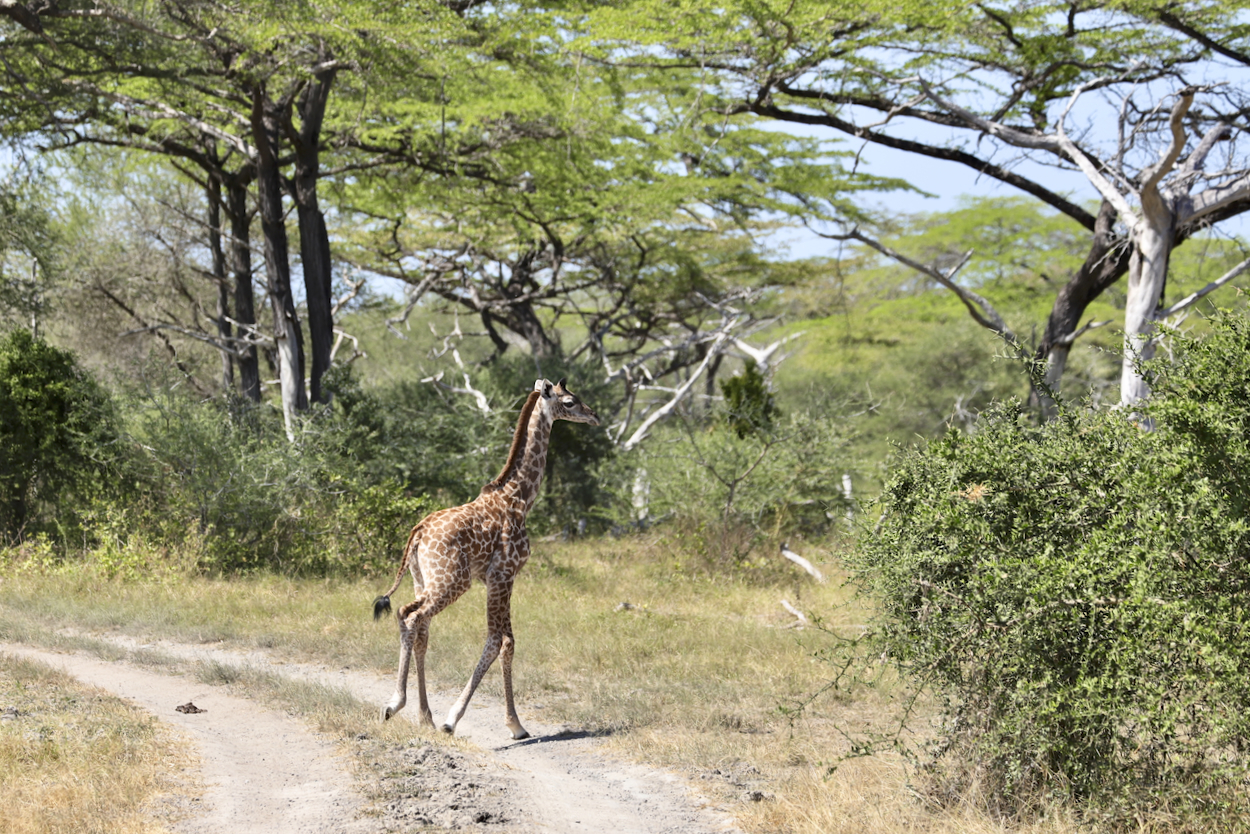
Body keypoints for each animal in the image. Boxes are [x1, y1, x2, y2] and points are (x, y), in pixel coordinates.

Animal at [370, 377, 600, 735]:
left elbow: (506, 640)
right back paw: (396, 704)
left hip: (424, 580)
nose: (594, 416)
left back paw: (424, 715)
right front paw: (484, 722)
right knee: (412, 616)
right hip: (452, 582)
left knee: (416, 624)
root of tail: (418, 532)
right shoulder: (503, 574)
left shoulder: (497, 578)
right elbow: (499, 640)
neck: (520, 498)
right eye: (570, 401)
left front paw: (511, 723)